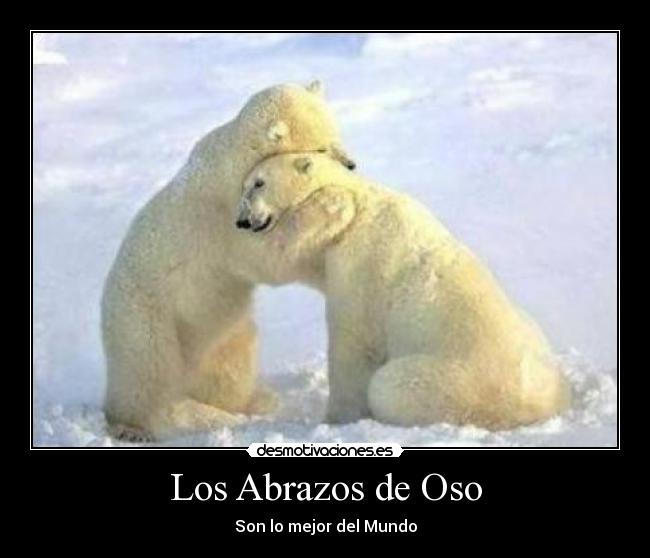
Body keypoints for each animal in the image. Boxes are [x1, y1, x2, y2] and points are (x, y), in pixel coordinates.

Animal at [102, 82, 356, 441]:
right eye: (320, 147)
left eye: (336, 136)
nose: (351, 165)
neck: (234, 159)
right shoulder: (224, 219)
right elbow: (269, 256)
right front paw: (333, 204)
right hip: (145, 318)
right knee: (146, 371)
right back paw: (133, 427)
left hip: (222, 330)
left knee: (230, 366)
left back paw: (254, 401)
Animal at [235, 152, 571, 430]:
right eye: (246, 185)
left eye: (259, 183)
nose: (242, 220)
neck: (361, 201)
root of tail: (535, 406)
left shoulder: (360, 264)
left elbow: (353, 343)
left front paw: (334, 419)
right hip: (532, 337)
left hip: (454, 382)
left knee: (387, 386)